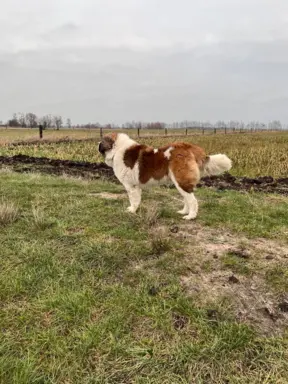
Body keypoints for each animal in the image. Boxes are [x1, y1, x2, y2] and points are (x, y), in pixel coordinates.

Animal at [99, 134, 232, 220]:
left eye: (101, 142)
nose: (97, 144)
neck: (117, 149)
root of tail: (189, 147)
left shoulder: (131, 186)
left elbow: (133, 199)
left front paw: (132, 210)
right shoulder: (136, 187)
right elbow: (137, 199)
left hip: (181, 180)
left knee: (192, 200)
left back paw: (190, 216)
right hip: (179, 182)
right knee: (187, 198)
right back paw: (183, 211)